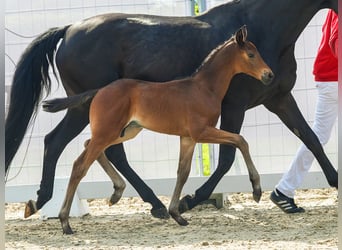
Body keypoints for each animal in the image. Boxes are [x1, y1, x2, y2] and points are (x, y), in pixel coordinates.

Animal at [43, 26, 272, 233]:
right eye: (251, 54)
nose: (269, 75)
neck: (204, 88)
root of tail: (100, 90)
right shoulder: (201, 132)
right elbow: (241, 140)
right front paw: (257, 190)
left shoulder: (187, 138)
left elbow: (183, 172)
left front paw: (177, 213)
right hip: (108, 132)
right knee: (80, 165)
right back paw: (65, 222)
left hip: (124, 131)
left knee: (89, 145)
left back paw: (117, 192)